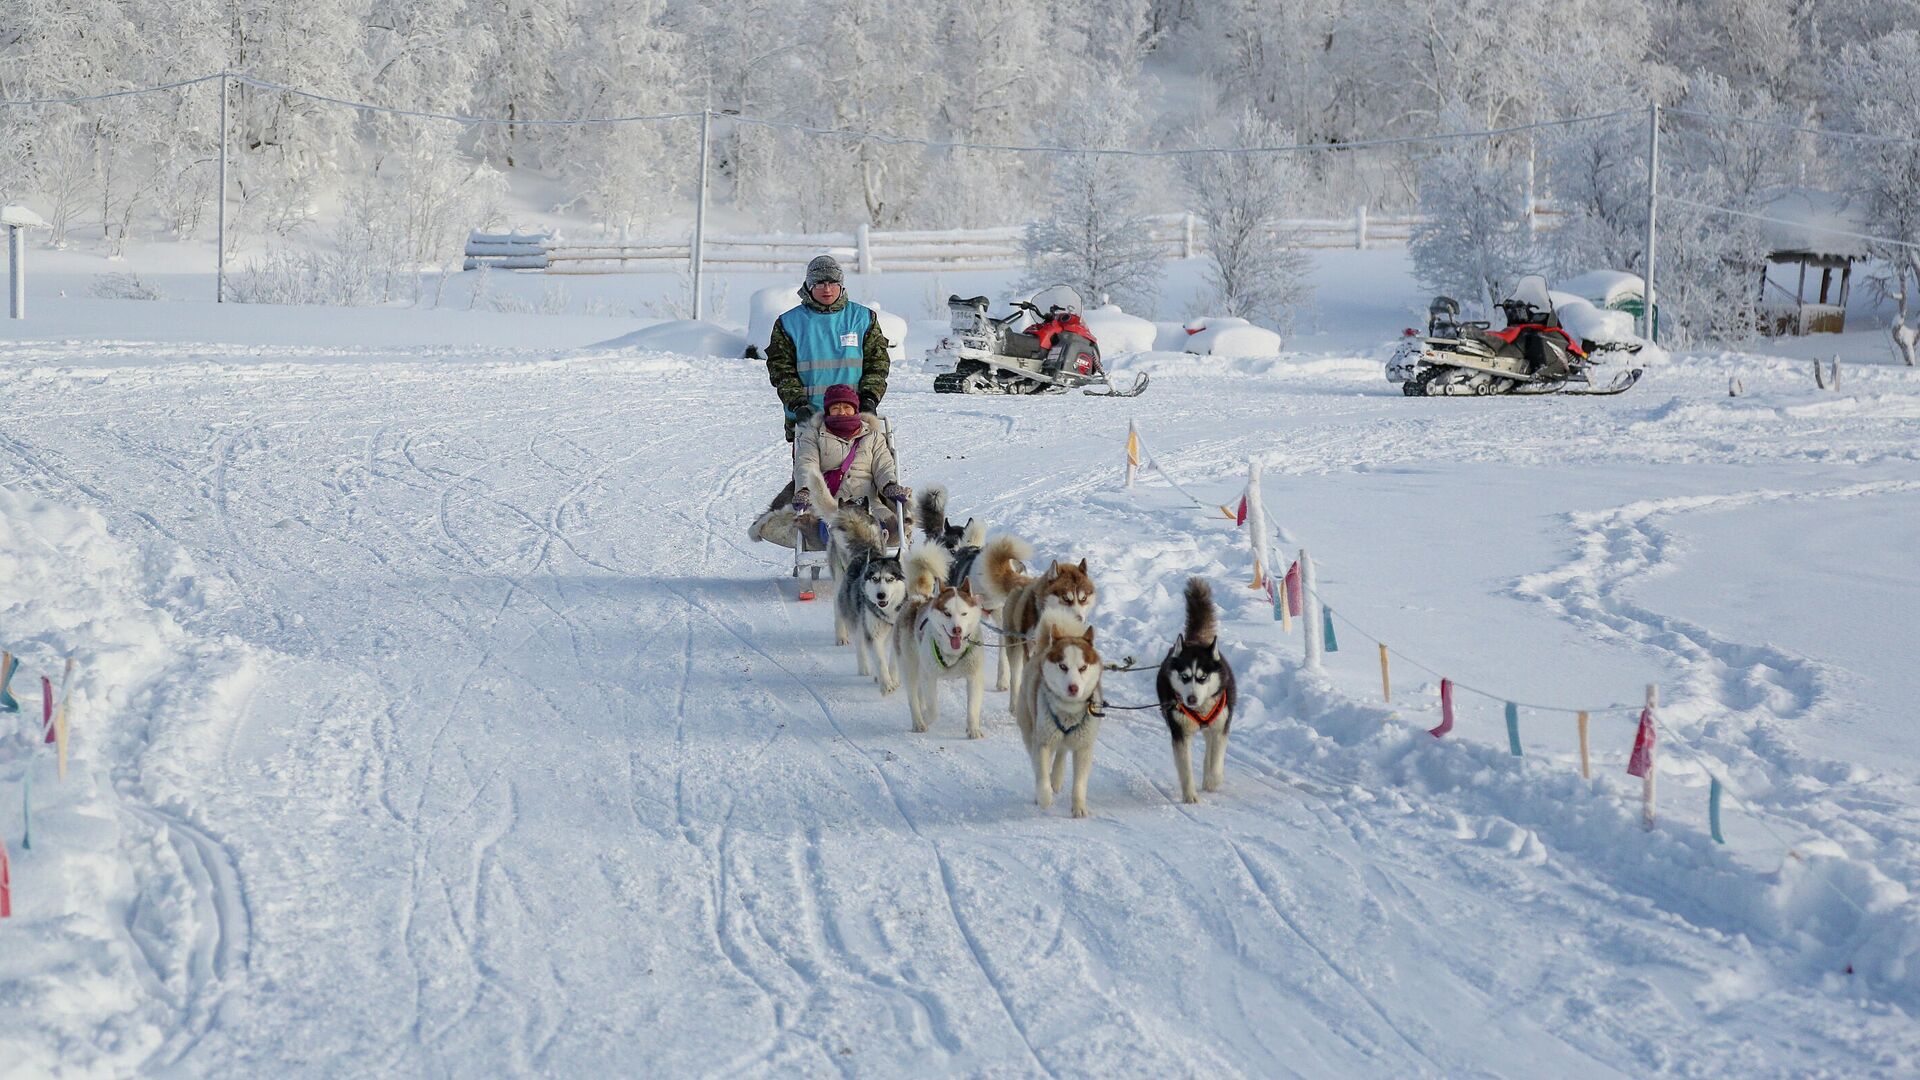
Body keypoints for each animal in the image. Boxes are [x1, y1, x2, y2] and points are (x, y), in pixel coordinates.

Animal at [833, 511, 906, 684]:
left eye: (890, 579)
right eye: (874, 579)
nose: (881, 595)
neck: (887, 613)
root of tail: (866, 551)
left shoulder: (896, 634)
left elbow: (893, 660)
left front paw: (893, 677)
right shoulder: (872, 634)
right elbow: (879, 659)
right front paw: (886, 683)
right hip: (856, 620)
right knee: (860, 645)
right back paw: (865, 667)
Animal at [890, 545, 990, 737]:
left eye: (964, 613)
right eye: (947, 613)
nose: (957, 630)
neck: (952, 654)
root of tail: (919, 598)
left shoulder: (974, 677)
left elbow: (973, 707)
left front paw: (973, 729)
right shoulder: (929, 677)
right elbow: (933, 709)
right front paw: (926, 717)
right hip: (910, 666)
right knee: (913, 697)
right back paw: (918, 721)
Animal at [983, 530, 1105, 703]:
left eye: (1083, 598)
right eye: (1066, 598)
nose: (1080, 619)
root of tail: (1024, 581)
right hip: (1015, 648)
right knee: (1015, 679)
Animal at [1013, 607, 1105, 814]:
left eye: (1083, 667)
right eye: (1063, 666)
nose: (1073, 688)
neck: (1069, 712)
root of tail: (1043, 649)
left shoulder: (1084, 748)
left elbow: (1079, 782)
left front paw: (1079, 807)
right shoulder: (1043, 742)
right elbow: (1041, 774)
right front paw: (1044, 798)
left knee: (1062, 752)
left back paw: (1056, 776)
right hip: (1030, 728)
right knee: (1037, 759)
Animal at [1144, 580, 1236, 799]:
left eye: (1202, 677)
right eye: (1185, 677)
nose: (1191, 699)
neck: (1200, 710)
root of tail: (1195, 640)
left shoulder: (1220, 728)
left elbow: (1216, 759)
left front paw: (1213, 780)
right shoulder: (1180, 734)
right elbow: (1185, 769)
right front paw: (1190, 796)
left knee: (1210, 751)